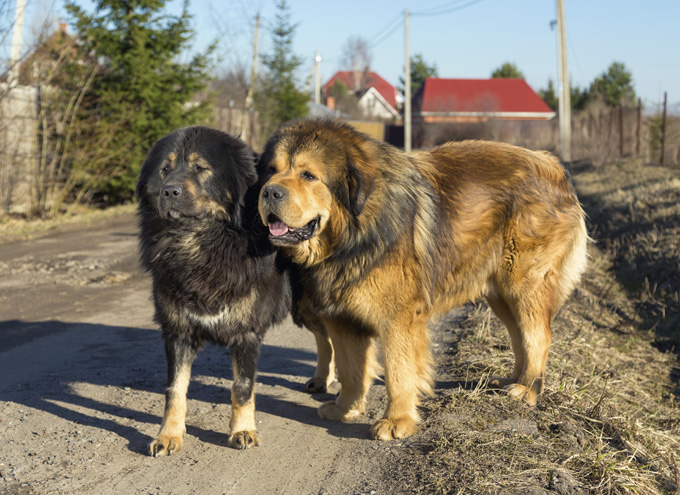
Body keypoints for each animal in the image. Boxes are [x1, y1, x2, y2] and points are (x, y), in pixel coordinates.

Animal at [135, 126, 290, 456]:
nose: (169, 191)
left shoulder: (247, 332)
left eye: (200, 168)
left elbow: (242, 386)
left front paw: (243, 430)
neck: (197, 244)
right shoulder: (177, 331)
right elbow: (175, 390)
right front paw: (168, 435)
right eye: (164, 169)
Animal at [258, 119, 588, 442]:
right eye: (271, 170)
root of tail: (553, 165)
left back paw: (527, 389)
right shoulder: (341, 318)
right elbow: (350, 369)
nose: (270, 192)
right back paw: (511, 380)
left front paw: (397, 421)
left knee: (538, 337)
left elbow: (398, 370)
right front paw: (345, 409)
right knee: (519, 336)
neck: (353, 236)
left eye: (308, 175)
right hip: (499, 292)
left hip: (523, 285)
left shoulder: (397, 318)